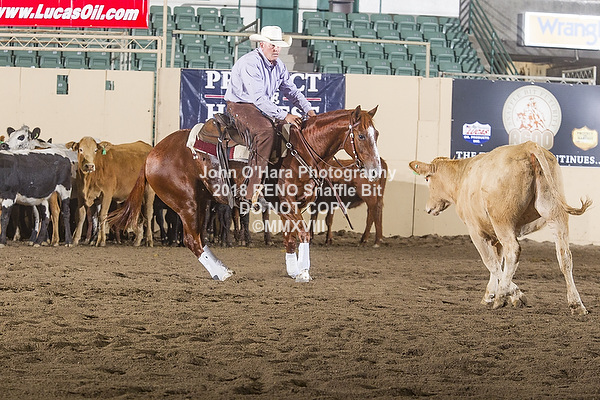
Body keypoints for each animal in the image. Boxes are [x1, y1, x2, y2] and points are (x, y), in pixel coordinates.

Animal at [109, 106, 382, 282]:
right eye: (360, 135)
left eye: (376, 134)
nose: (376, 170)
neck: (300, 151)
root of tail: (152, 153)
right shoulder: (287, 203)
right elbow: (304, 233)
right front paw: (304, 272)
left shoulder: (290, 206)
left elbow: (290, 238)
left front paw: (293, 270)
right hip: (187, 204)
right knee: (192, 240)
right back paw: (221, 273)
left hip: (202, 201)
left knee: (200, 239)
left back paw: (221, 269)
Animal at [409, 141, 591, 315]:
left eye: (427, 179)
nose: (428, 209)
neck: (462, 178)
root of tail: (528, 146)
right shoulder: (495, 238)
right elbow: (499, 262)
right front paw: (490, 294)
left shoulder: (476, 232)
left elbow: (491, 262)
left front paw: (513, 295)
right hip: (555, 213)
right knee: (564, 256)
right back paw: (577, 304)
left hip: (502, 220)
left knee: (513, 250)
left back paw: (502, 298)